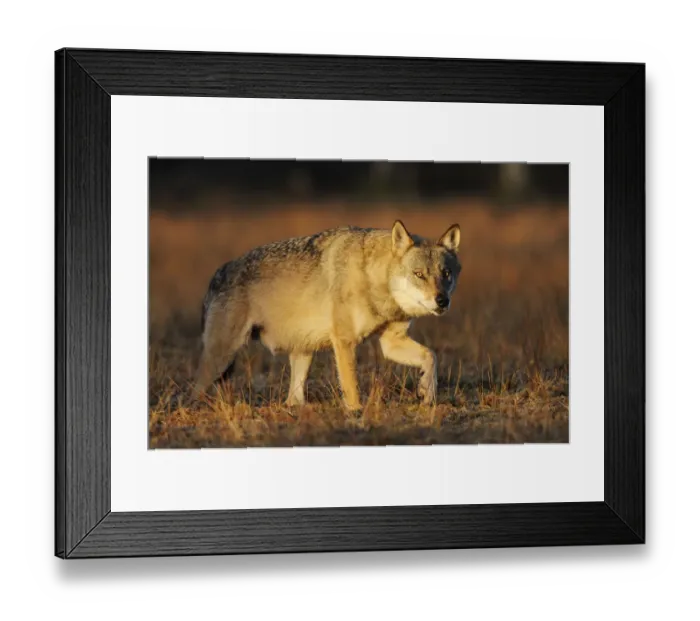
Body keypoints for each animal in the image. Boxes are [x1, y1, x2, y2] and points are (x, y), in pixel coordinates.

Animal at [195, 220, 461, 410]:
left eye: (446, 274)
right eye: (419, 274)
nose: (442, 300)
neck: (374, 281)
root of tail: (217, 274)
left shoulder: (391, 343)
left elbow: (431, 356)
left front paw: (427, 393)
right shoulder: (344, 342)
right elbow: (351, 386)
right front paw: (356, 412)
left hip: (303, 354)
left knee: (294, 400)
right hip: (221, 359)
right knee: (195, 390)